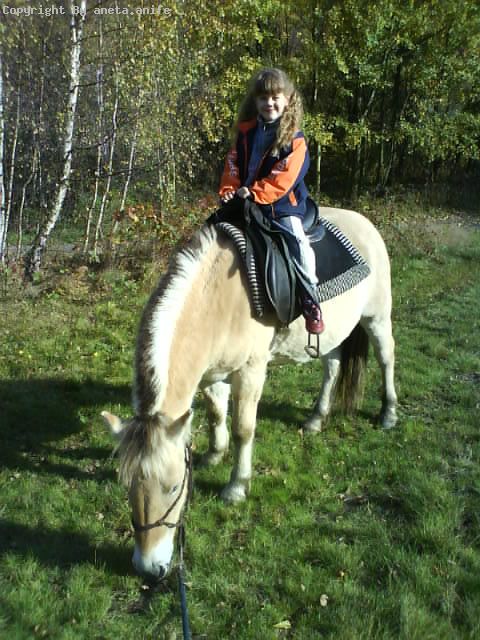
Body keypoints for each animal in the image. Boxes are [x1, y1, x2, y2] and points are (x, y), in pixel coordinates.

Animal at [102, 206, 398, 580]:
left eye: (173, 487)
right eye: (127, 486)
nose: (149, 568)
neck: (217, 299)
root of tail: (363, 222)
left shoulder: (251, 370)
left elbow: (244, 429)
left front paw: (236, 486)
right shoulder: (212, 373)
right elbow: (216, 414)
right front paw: (214, 454)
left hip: (377, 317)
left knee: (386, 356)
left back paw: (388, 413)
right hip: (332, 332)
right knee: (332, 367)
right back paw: (316, 419)